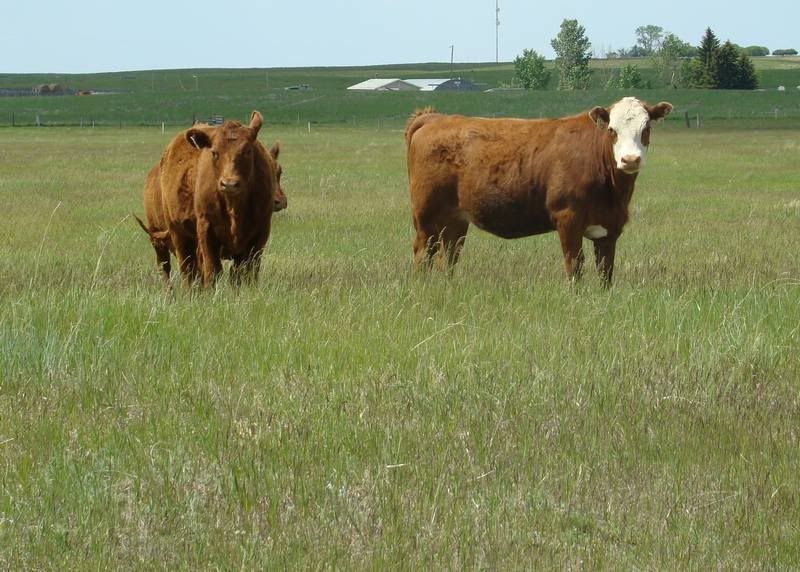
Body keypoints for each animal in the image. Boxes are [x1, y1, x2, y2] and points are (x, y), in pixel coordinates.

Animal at [136, 111, 280, 286]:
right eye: (215, 152)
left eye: (247, 150)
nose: (229, 184)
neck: (234, 207)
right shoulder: (206, 231)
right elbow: (213, 271)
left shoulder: (259, 234)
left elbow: (245, 273)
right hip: (175, 236)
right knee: (181, 270)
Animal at [405, 97, 673, 285]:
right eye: (611, 130)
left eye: (646, 128)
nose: (630, 160)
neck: (613, 192)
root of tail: (435, 118)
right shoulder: (568, 218)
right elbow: (574, 265)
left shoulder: (609, 228)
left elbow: (606, 271)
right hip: (426, 215)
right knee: (423, 252)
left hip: (456, 220)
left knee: (448, 255)